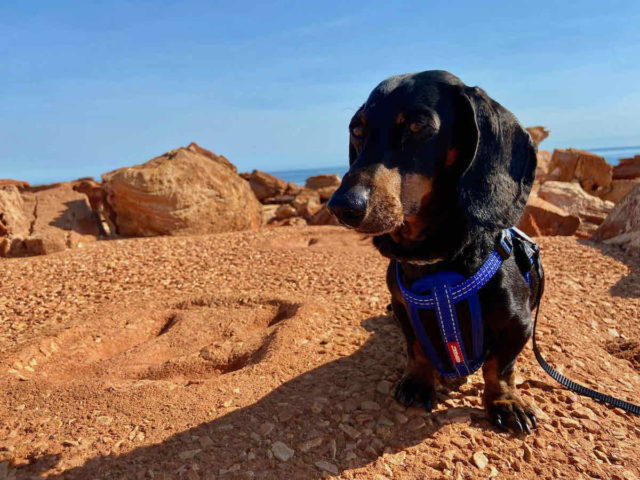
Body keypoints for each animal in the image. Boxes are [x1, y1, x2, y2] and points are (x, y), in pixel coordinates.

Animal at [328, 71, 544, 436]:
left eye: (417, 126)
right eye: (357, 130)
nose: (341, 205)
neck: (435, 263)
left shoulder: (517, 325)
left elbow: (499, 367)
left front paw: (504, 401)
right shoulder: (405, 311)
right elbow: (417, 349)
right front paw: (418, 383)